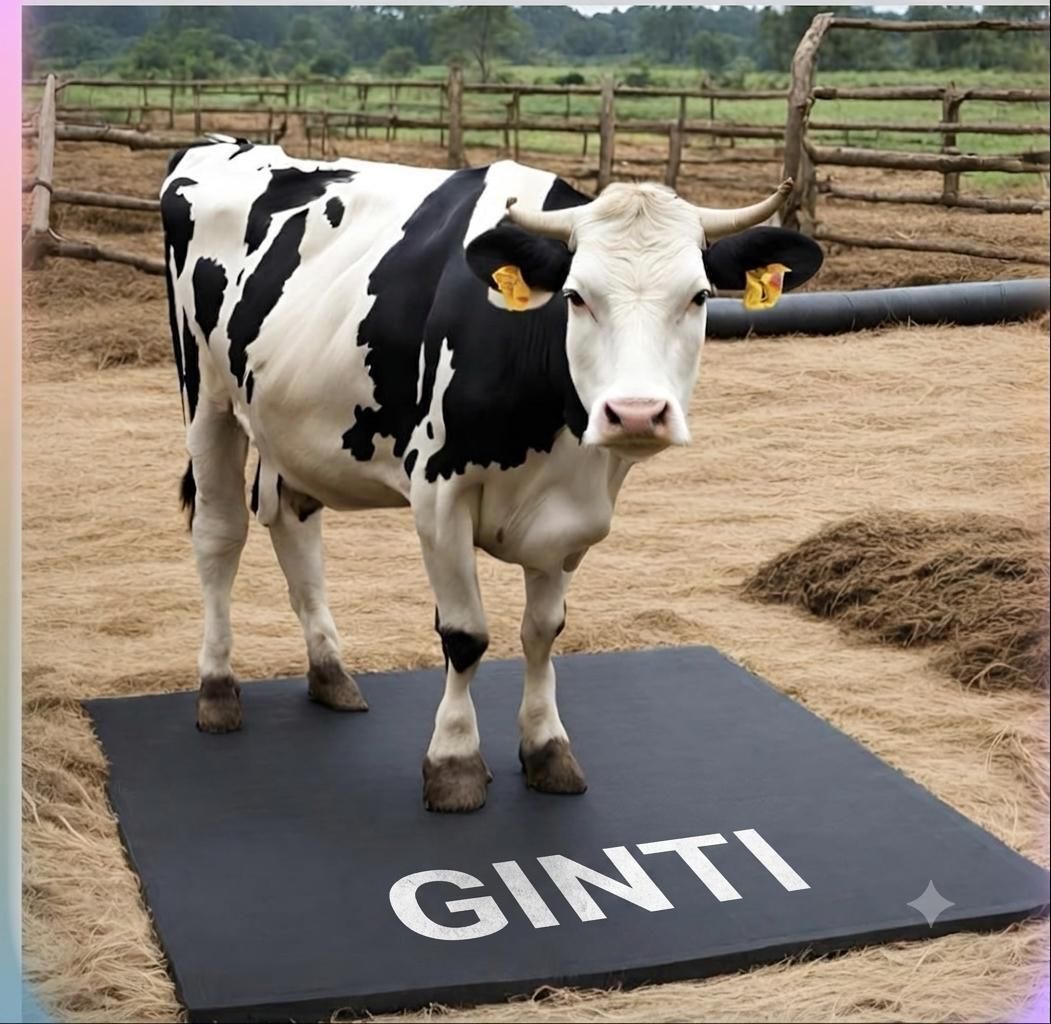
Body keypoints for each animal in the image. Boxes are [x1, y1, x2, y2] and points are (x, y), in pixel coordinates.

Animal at [161, 137, 822, 813]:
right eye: (576, 296)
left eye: (698, 297)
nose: (636, 412)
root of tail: (225, 144)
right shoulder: (438, 495)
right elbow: (466, 636)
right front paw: (454, 761)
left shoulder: (572, 516)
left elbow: (543, 632)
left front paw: (547, 748)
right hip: (207, 395)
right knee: (220, 535)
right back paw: (217, 688)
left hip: (290, 422)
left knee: (293, 523)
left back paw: (330, 672)